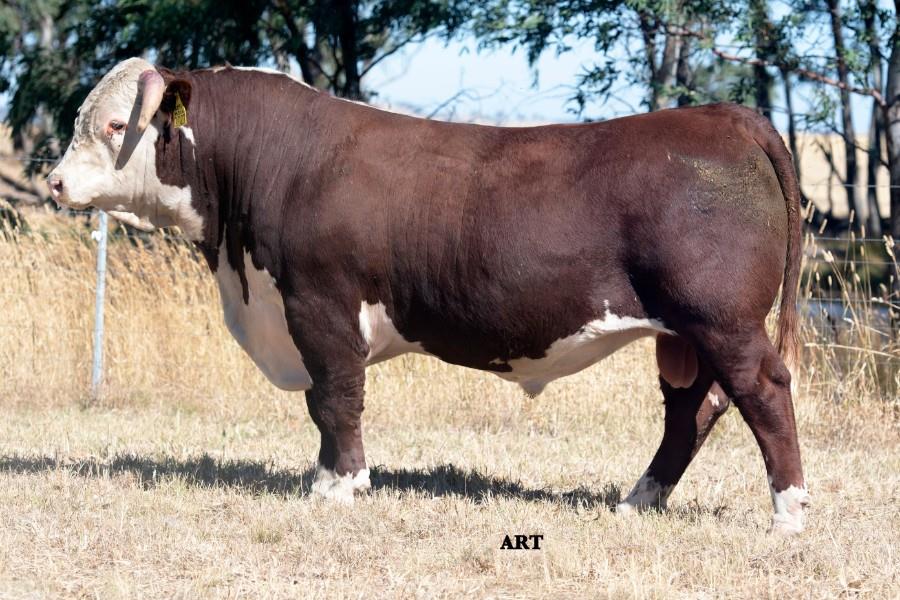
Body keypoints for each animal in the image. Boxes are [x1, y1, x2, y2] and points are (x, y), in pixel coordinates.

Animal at [47, 57, 811, 534]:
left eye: (115, 126)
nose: (55, 182)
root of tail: (725, 116)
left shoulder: (320, 303)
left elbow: (335, 397)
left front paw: (339, 486)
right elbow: (324, 405)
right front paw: (332, 478)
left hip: (722, 320)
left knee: (763, 391)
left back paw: (789, 512)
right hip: (684, 335)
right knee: (692, 411)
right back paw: (638, 501)